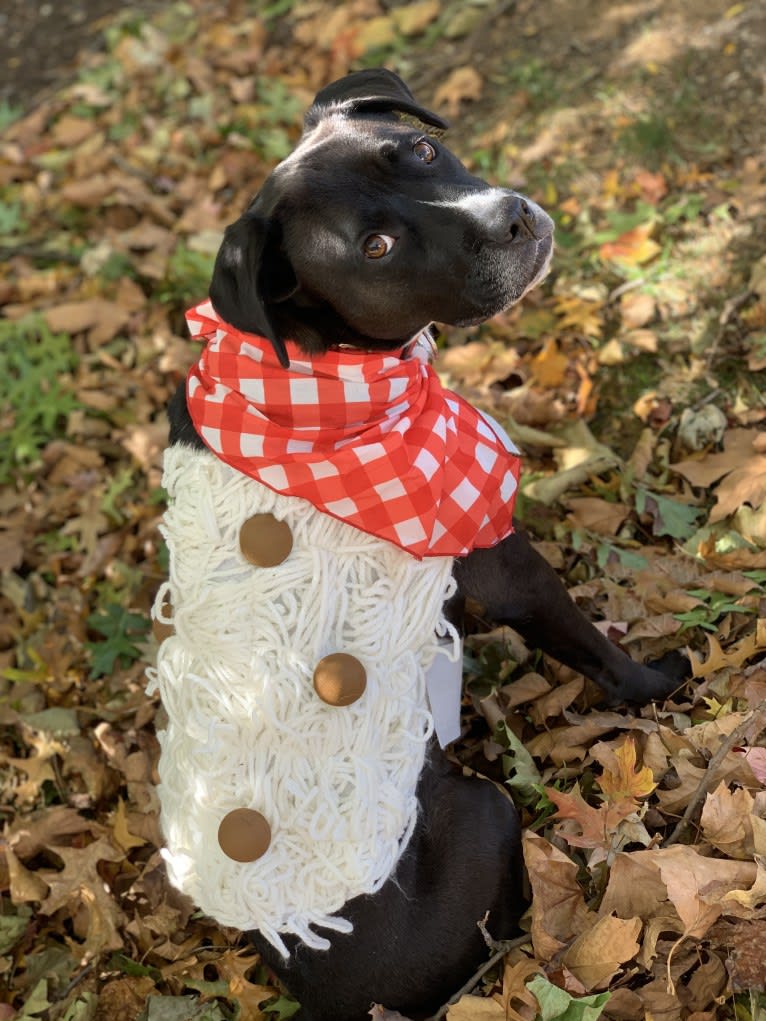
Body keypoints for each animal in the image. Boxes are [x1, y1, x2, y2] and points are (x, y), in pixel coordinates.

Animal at [167, 67, 682, 1016]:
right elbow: (588, 643)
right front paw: (657, 681)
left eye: (419, 149)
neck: (324, 376)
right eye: (374, 247)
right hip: (486, 811)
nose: (507, 218)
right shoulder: (502, 557)